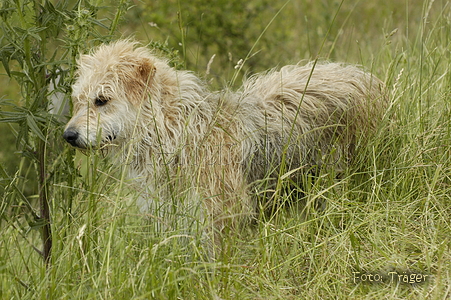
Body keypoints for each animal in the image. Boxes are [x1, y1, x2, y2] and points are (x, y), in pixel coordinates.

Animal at [62, 40, 388, 239]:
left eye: (101, 100)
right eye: (78, 100)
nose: (68, 136)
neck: (175, 129)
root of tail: (362, 75)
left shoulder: (221, 217)